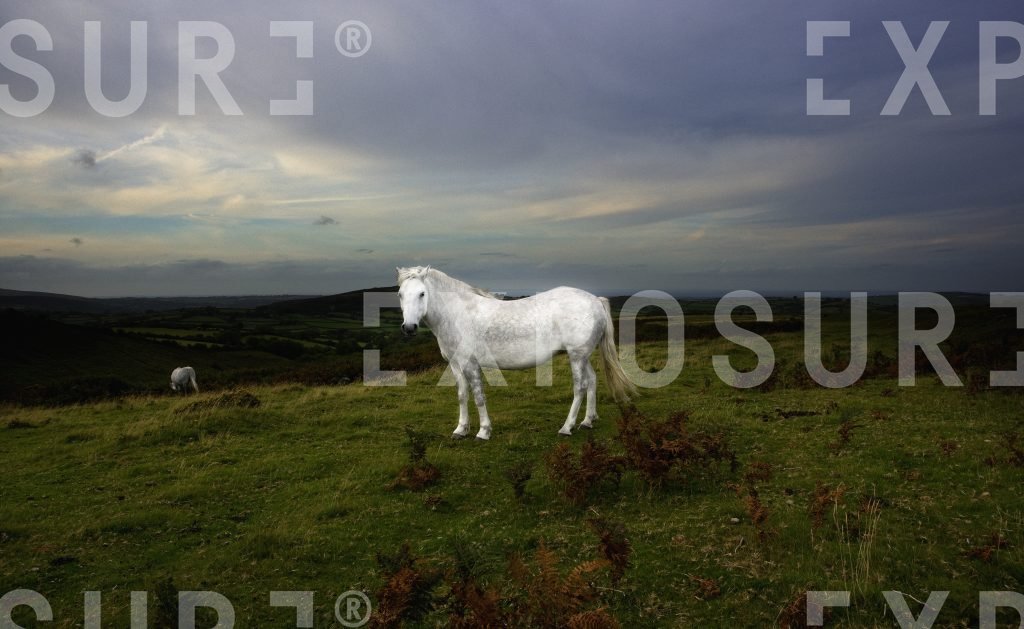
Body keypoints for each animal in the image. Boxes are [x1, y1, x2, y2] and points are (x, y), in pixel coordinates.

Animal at [396, 266, 635, 440]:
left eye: (422, 293)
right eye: (400, 294)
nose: (409, 328)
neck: (457, 313)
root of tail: (595, 300)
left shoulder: (471, 364)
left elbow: (478, 396)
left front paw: (483, 431)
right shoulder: (456, 364)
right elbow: (462, 395)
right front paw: (461, 429)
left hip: (577, 356)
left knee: (580, 387)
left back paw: (567, 427)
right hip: (582, 355)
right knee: (593, 380)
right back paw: (587, 421)